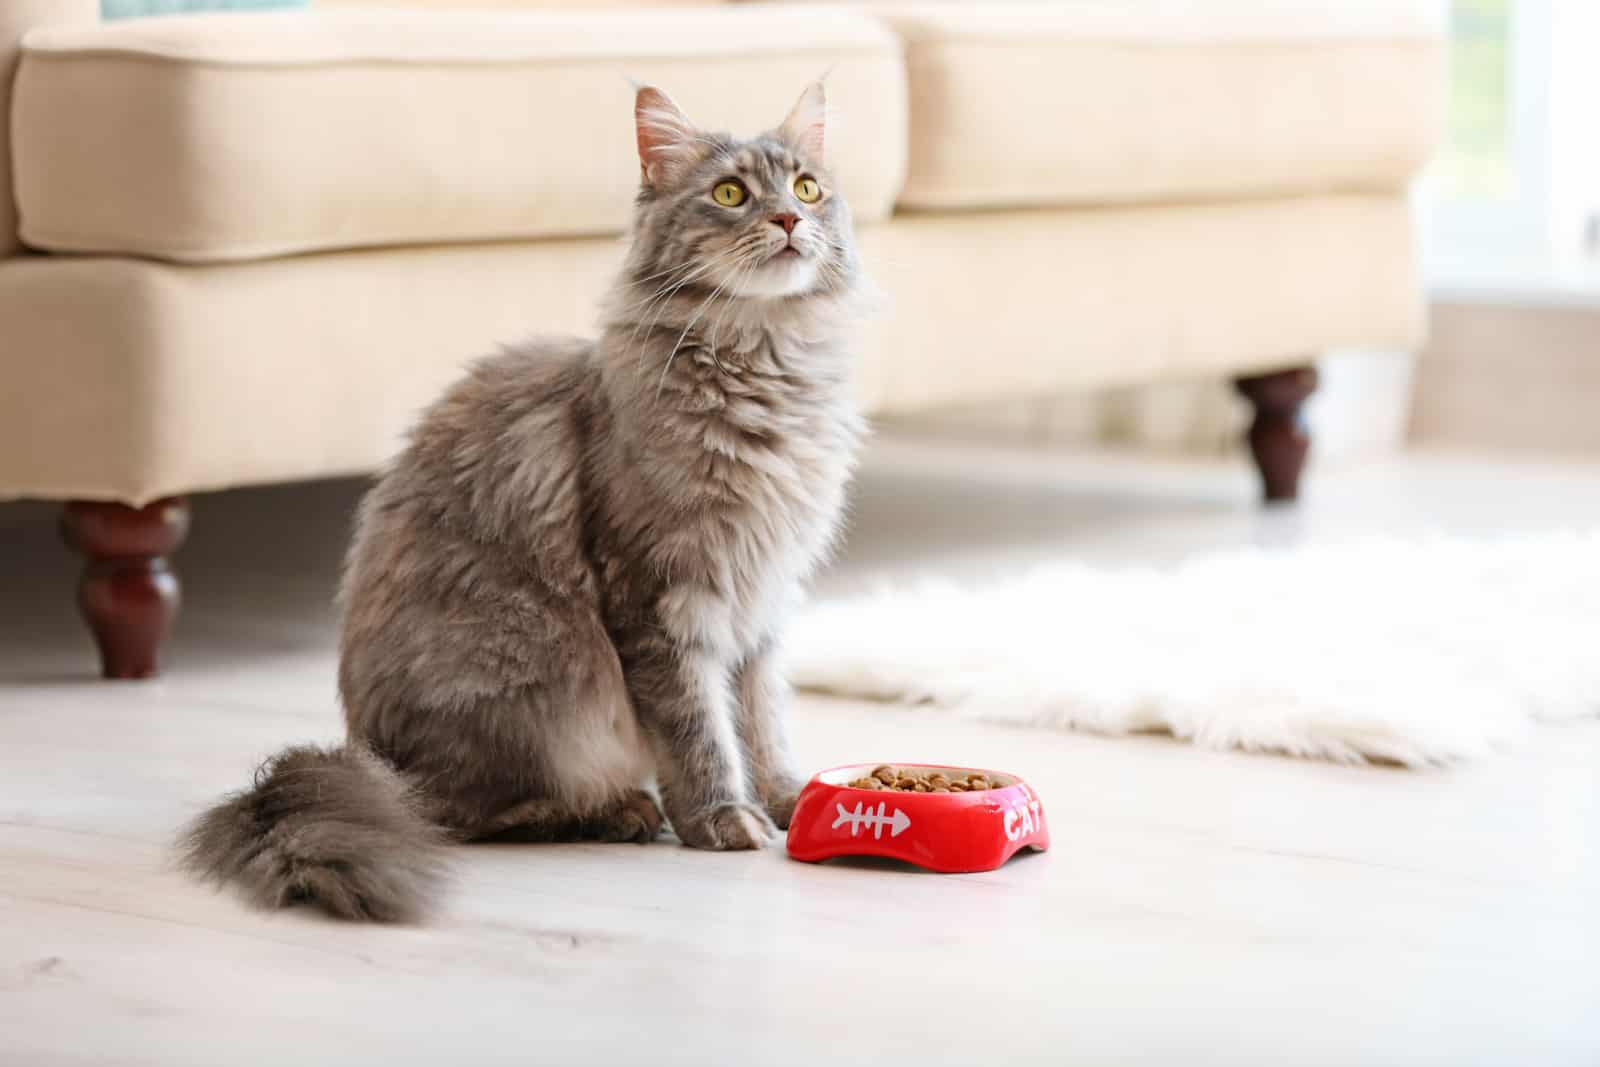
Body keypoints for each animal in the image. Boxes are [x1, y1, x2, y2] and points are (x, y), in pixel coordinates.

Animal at [178, 83, 864, 921]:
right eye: (731, 194)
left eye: (807, 188)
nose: (790, 220)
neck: (767, 364)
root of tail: (364, 754)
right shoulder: (663, 599)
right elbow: (701, 727)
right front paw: (723, 818)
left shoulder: (763, 600)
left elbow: (764, 719)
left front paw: (790, 798)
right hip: (543, 676)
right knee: (452, 812)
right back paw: (615, 811)